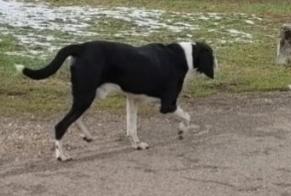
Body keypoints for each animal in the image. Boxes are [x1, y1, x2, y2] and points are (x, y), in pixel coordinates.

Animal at [16, 41, 217, 161]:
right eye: (212, 57)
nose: (218, 65)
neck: (184, 56)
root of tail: (81, 46)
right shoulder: (168, 104)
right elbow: (187, 116)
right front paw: (182, 131)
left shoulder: (133, 99)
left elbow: (131, 127)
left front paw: (137, 144)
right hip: (86, 96)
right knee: (61, 125)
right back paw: (62, 155)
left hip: (87, 95)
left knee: (76, 118)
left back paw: (86, 136)